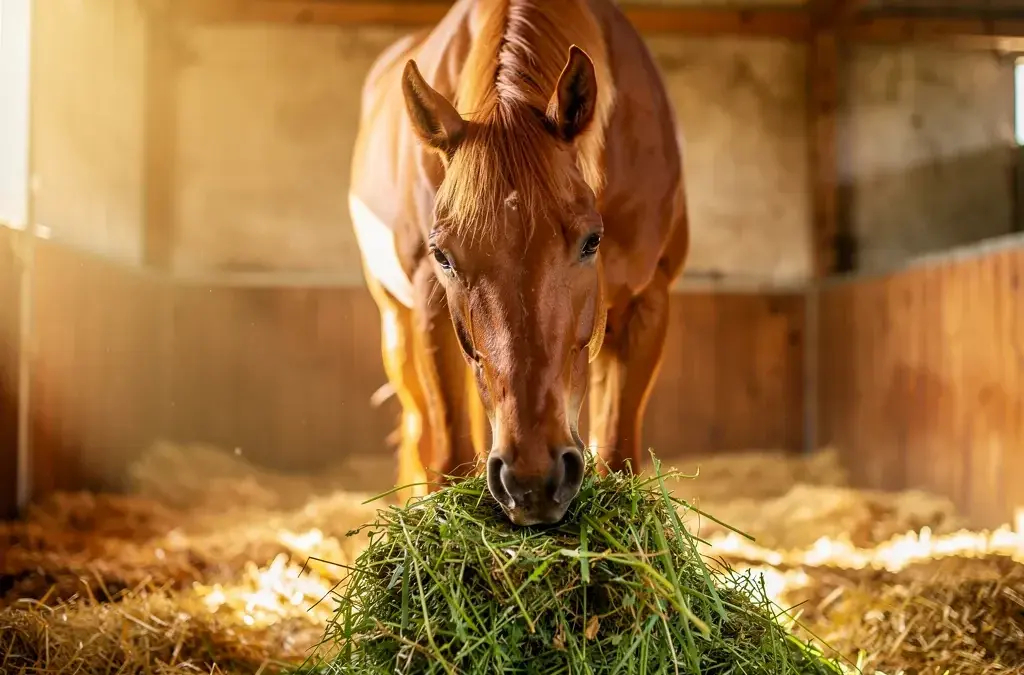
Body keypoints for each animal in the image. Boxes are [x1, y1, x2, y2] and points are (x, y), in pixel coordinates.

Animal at [349, 0, 689, 526]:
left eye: (592, 241)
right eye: (442, 255)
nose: (533, 478)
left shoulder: (647, 303)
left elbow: (618, 457)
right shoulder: (430, 310)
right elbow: (447, 460)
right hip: (397, 327)